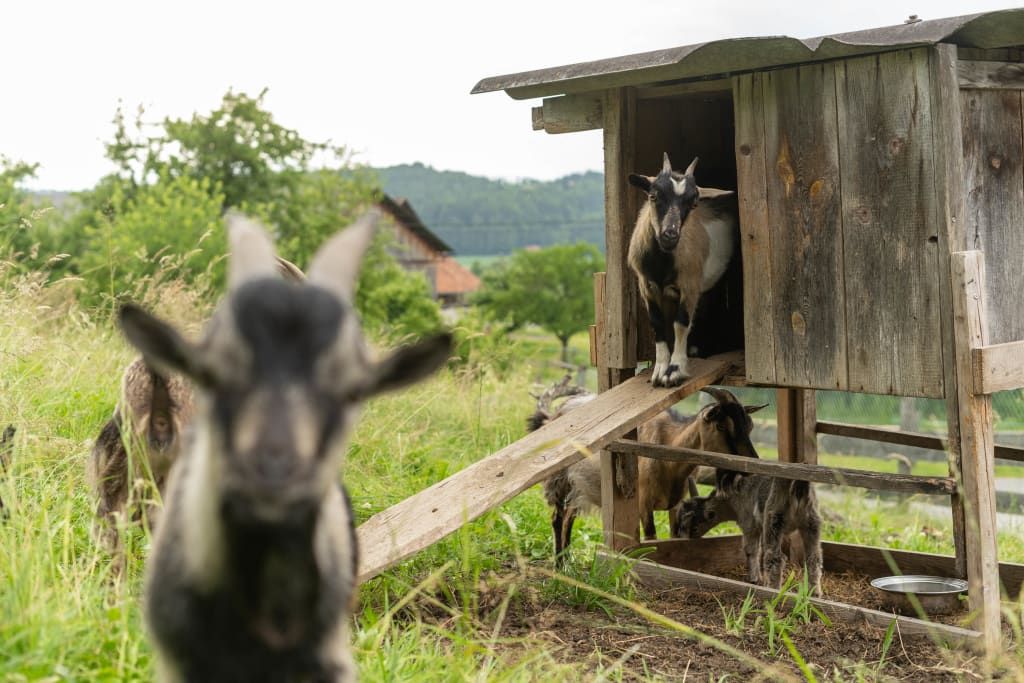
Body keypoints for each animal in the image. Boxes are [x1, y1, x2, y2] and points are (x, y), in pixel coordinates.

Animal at [531, 382, 763, 564]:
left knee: (569, 517)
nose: (751, 465)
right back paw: (559, 566)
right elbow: (652, 540)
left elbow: (674, 537)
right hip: (558, 480)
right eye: (721, 426)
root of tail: (556, 413)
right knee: (557, 519)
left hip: (579, 488)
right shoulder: (643, 504)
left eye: (750, 427)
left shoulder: (676, 504)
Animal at [627, 153, 738, 387]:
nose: (670, 235)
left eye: (694, 203)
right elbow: (657, 322)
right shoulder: (646, 286)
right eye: (653, 196)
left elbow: (681, 323)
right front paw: (659, 370)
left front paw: (675, 370)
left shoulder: (690, 285)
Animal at [676, 475, 823, 596]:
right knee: (813, 558)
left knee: (776, 558)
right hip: (811, 522)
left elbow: (751, 550)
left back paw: (773, 589)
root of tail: (798, 487)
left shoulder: (749, 524)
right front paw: (760, 578)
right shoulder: (761, 527)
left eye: (694, 528)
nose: (681, 538)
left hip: (774, 519)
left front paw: (755, 579)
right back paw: (814, 593)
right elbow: (760, 550)